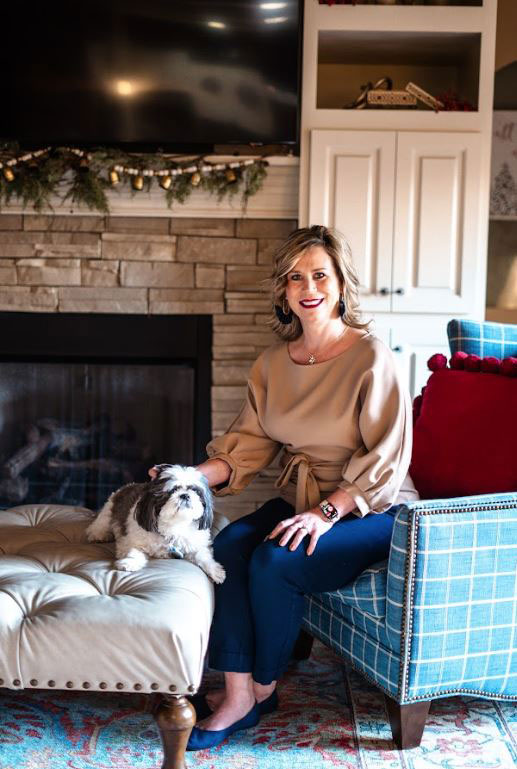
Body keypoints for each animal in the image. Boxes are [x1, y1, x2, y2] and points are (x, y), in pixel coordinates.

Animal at [85, 462, 225, 584]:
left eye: (194, 490)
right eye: (172, 491)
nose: (185, 495)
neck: (174, 525)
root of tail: (128, 486)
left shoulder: (195, 543)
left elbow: (203, 555)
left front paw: (215, 570)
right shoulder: (131, 541)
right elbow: (134, 551)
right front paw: (129, 562)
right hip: (108, 511)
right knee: (100, 525)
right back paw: (98, 535)